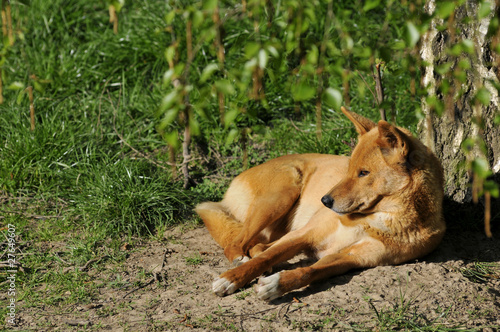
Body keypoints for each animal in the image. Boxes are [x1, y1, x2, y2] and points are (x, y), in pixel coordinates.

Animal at [195, 107, 446, 300]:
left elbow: (308, 272)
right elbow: (267, 257)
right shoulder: (305, 234)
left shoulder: (350, 258)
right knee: (238, 244)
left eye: (364, 173)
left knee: (259, 245)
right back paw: (240, 262)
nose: (324, 201)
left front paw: (277, 284)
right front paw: (231, 279)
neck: (379, 218)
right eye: (349, 169)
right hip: (280, 196)